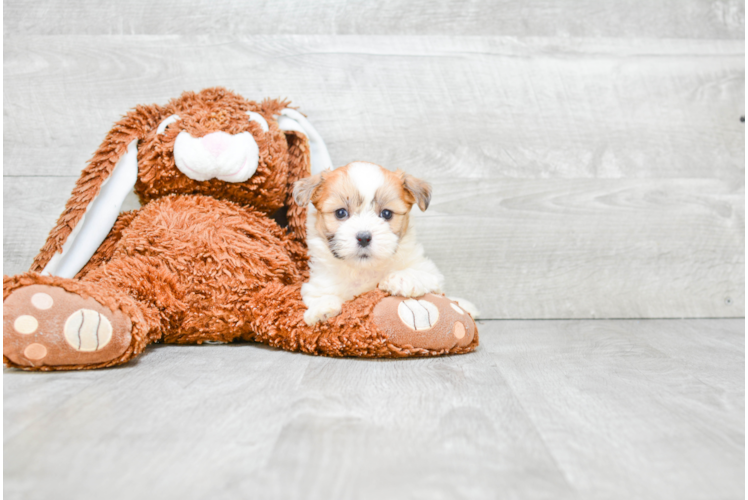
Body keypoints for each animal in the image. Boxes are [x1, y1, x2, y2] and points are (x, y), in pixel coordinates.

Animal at [294, 160, 480, 324]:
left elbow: (422, 275)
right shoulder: (317, 285)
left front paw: (402, 278)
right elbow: (321, 295)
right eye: (341, 213)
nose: (364, 237)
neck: (365, 270)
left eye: (386, 214)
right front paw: (321, 309)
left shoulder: (430, 273)